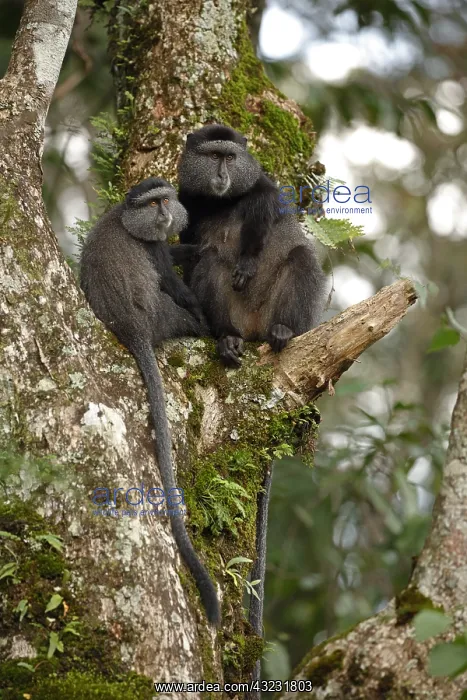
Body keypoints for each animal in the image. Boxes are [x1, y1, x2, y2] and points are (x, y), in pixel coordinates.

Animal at [79, 177, 221, 626]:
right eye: (152, 203)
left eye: (165, 200)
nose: (163, 214)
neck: (127, 217)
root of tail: (132, 328)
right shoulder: (151, 250)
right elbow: (174, 283)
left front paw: (194, 250)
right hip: (162, 316)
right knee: (177, 309)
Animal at [177, 124, 326, 367]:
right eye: (214, 156)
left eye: (230, 157)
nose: (222, 175)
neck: (219, 201)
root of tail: (252, 327)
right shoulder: (185, 200)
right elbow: (191, 254)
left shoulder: (259, 184)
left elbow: (260, 220)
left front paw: (246, 264)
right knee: (209, 259)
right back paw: (227, 337)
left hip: (271, 314)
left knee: (302, 255)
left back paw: (284, 329)